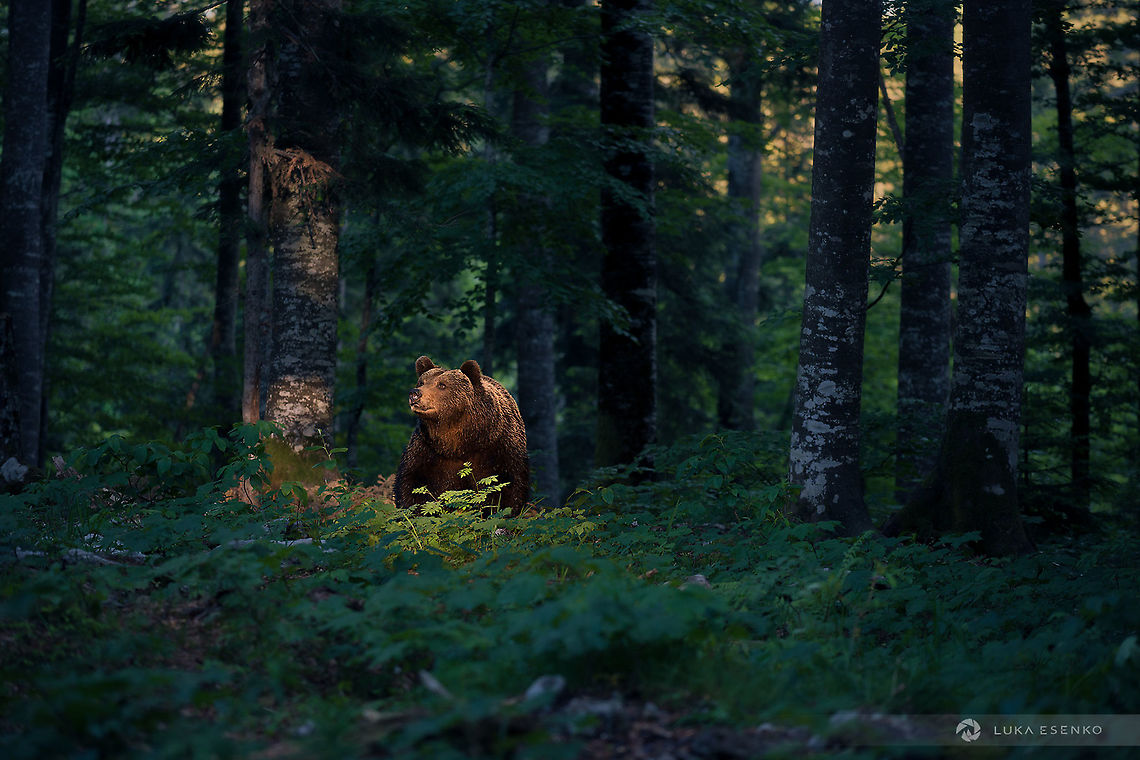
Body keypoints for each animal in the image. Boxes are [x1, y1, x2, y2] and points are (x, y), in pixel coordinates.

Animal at [394, 356, 530, 515]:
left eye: (442, 385)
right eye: (421, 382)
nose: (415, 393)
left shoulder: (498, 446)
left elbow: (506, 483)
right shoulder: (426, 447)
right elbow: (412, 481)